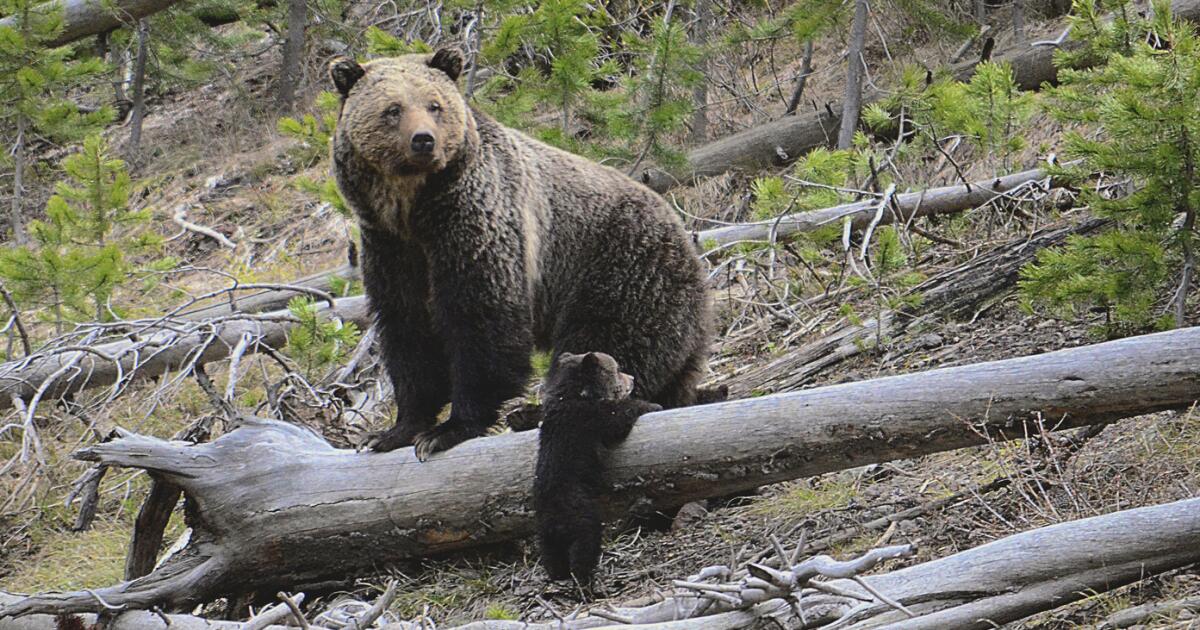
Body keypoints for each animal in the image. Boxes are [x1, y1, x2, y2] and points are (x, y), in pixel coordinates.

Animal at [329, 49, 711, 461]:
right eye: (393, 109)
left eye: (434, 105)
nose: (424, 140)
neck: (412, 209)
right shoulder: (390, 247)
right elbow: (408, 331)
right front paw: (393, 431)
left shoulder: (475, 223)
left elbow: (481, 319)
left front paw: (449, 429)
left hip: (621, 267)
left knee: (607, 343)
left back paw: (537, 411)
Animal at [533, 351, 661, 586]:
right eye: (617, 369)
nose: (632, 378)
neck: (576, 394)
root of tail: (554, 520)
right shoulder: (590, 418)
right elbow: (618, 418)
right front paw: (652, 405)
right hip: (580, 515)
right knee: (585, 546)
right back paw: (586, 580)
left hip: (545, 533)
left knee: (551, 556)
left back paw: (558, 574)